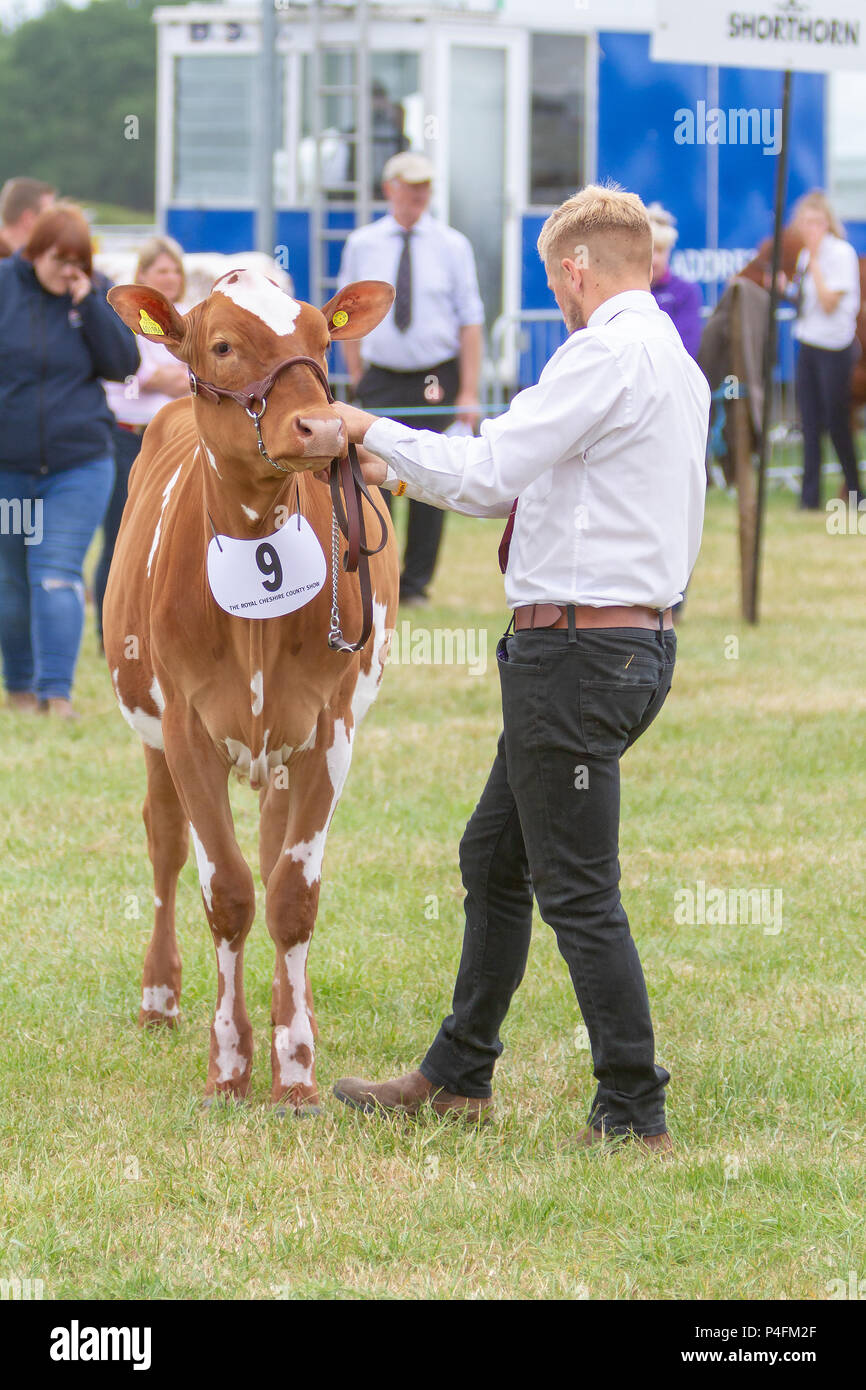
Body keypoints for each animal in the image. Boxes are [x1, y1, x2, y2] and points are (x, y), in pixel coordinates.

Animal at [104, 271, 400, 1112]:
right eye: (224, 345)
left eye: (322, 337)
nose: (323, 428)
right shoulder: (185, 730)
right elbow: (228, 891)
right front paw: (229, 1065)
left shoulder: (331, 730)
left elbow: (290, 894)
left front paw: (293, 1067)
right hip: (151, 737)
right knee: (166, 843)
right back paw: (159, 999)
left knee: (272, 853)